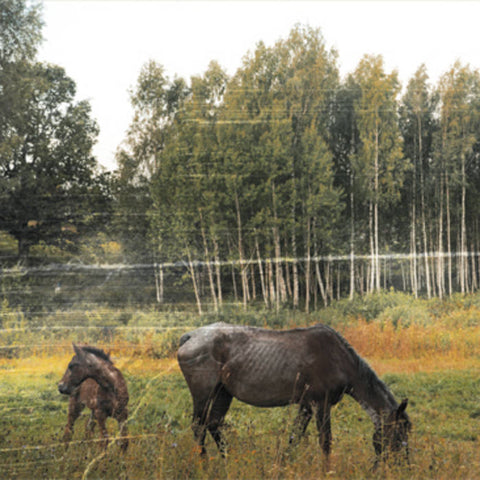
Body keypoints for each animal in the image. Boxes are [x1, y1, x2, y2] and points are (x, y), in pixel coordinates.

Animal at [178, 320, 410, 466]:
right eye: (399, 432)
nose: (404, 465)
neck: (340, 360)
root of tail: (190, 336)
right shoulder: (321, 404)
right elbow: (325, 442)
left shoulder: (306, 405)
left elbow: (294, 437)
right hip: (203, 393)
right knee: (199, 427)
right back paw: (204, 464)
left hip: (223, 393)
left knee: (213, 424)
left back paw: (227, 461)